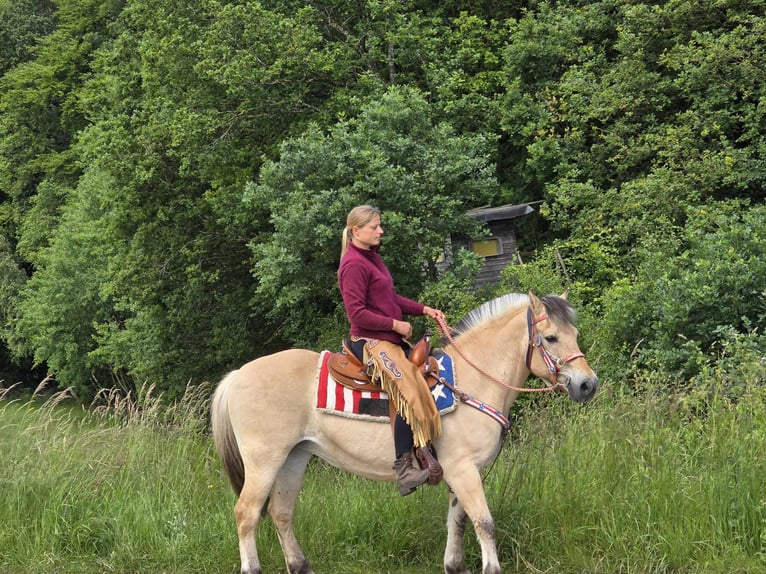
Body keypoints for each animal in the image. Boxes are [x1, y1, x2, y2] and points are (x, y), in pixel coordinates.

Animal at [210, 292, 600, 574]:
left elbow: (458, 522)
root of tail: (238, 375)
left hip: (295, 456)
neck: (474, 381)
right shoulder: (464, 470)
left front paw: (453, 565)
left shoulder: (460, 472)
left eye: (575, 335)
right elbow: (484, 522)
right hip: (264, 460)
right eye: (551, 337)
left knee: (281, 512)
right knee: (246, 513)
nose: (587, 384)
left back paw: (300, 566)